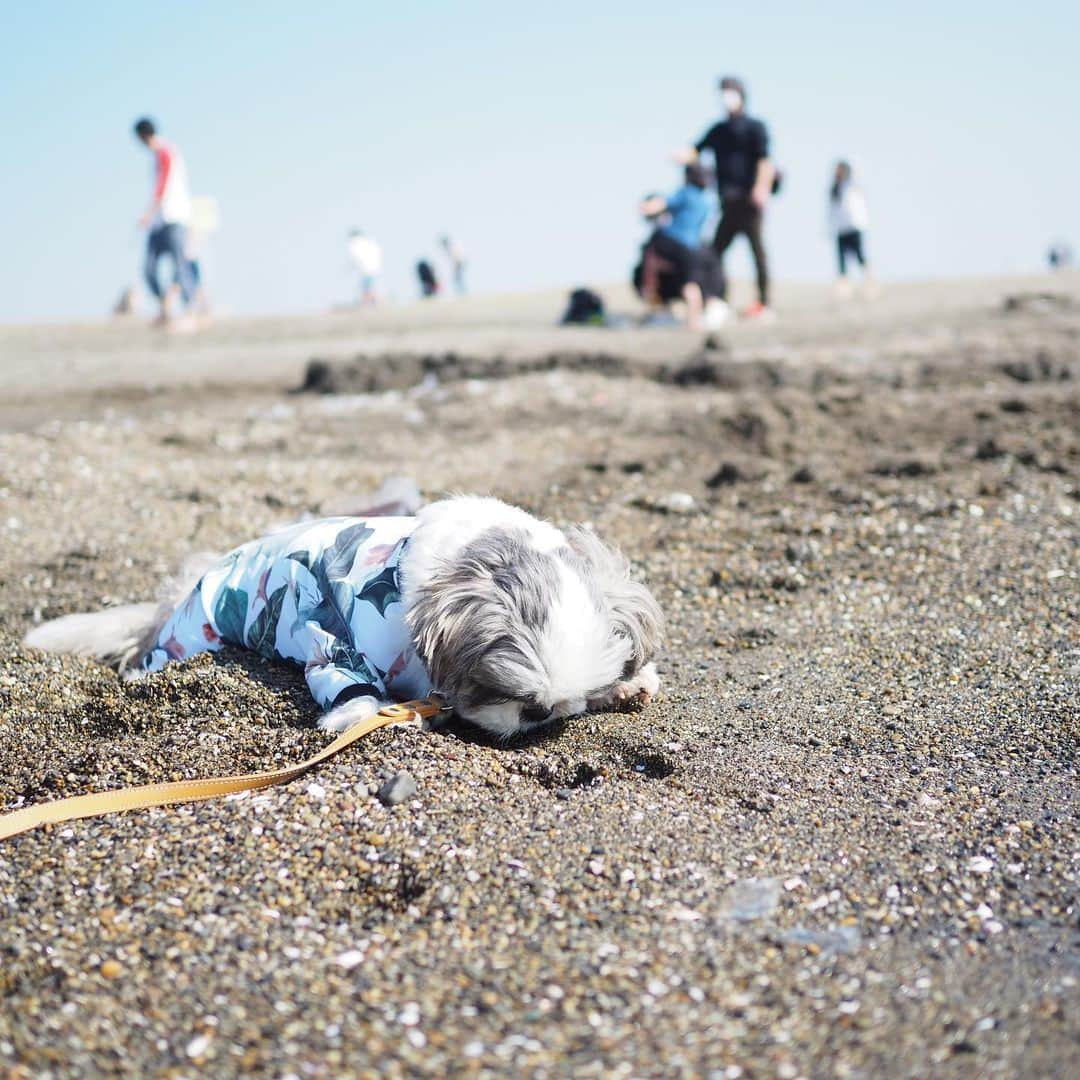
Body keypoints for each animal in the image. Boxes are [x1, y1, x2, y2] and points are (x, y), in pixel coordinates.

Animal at [25, 494, 660, 734]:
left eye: (568, 701)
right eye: (513, 697)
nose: (543, 715)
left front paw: (632, 683)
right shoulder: (326, 620)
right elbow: (343, 675)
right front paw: (366, 713)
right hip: (193, 634)